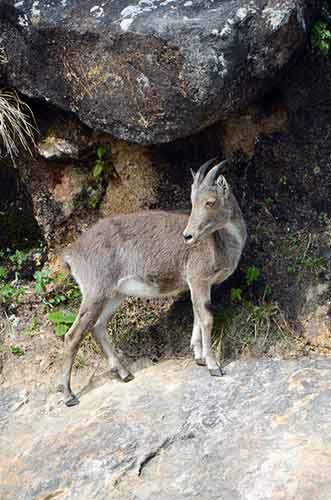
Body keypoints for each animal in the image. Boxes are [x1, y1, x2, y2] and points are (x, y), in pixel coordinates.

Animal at [60, 160, 246, 406]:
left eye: (209, 201)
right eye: (192, 202)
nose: (188, 235)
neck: (222, 242)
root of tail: (71, 254)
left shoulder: (198, 285)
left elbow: (197, 314)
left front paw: (198, 356)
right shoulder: (198, 278)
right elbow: (206, 318)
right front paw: (214, 366)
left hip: (114, 294)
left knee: (97, 327)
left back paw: (125, 373)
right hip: (95, 292)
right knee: (73, 335)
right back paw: (68, 394)